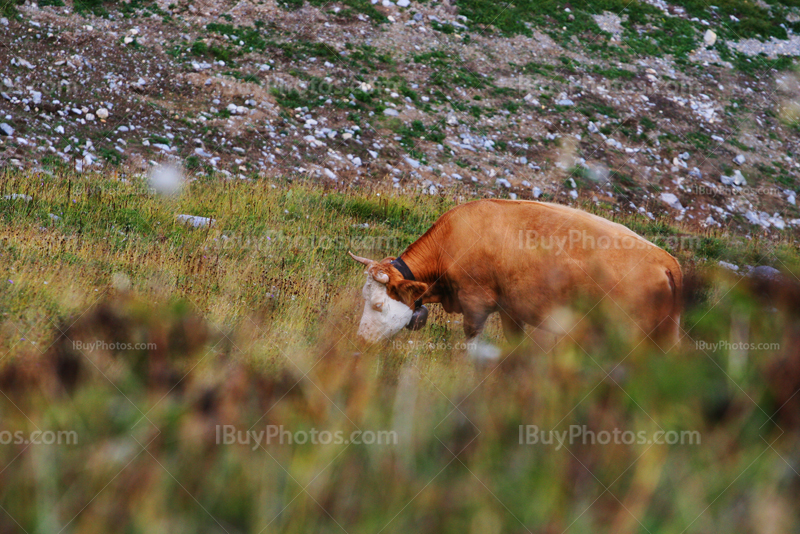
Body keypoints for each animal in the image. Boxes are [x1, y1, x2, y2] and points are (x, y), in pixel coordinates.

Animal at [348, 199, 680, 354]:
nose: (360, 341)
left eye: (378, 305)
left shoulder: (476, 301)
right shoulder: (511, 309)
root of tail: (666, 261)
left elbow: (472, 341)